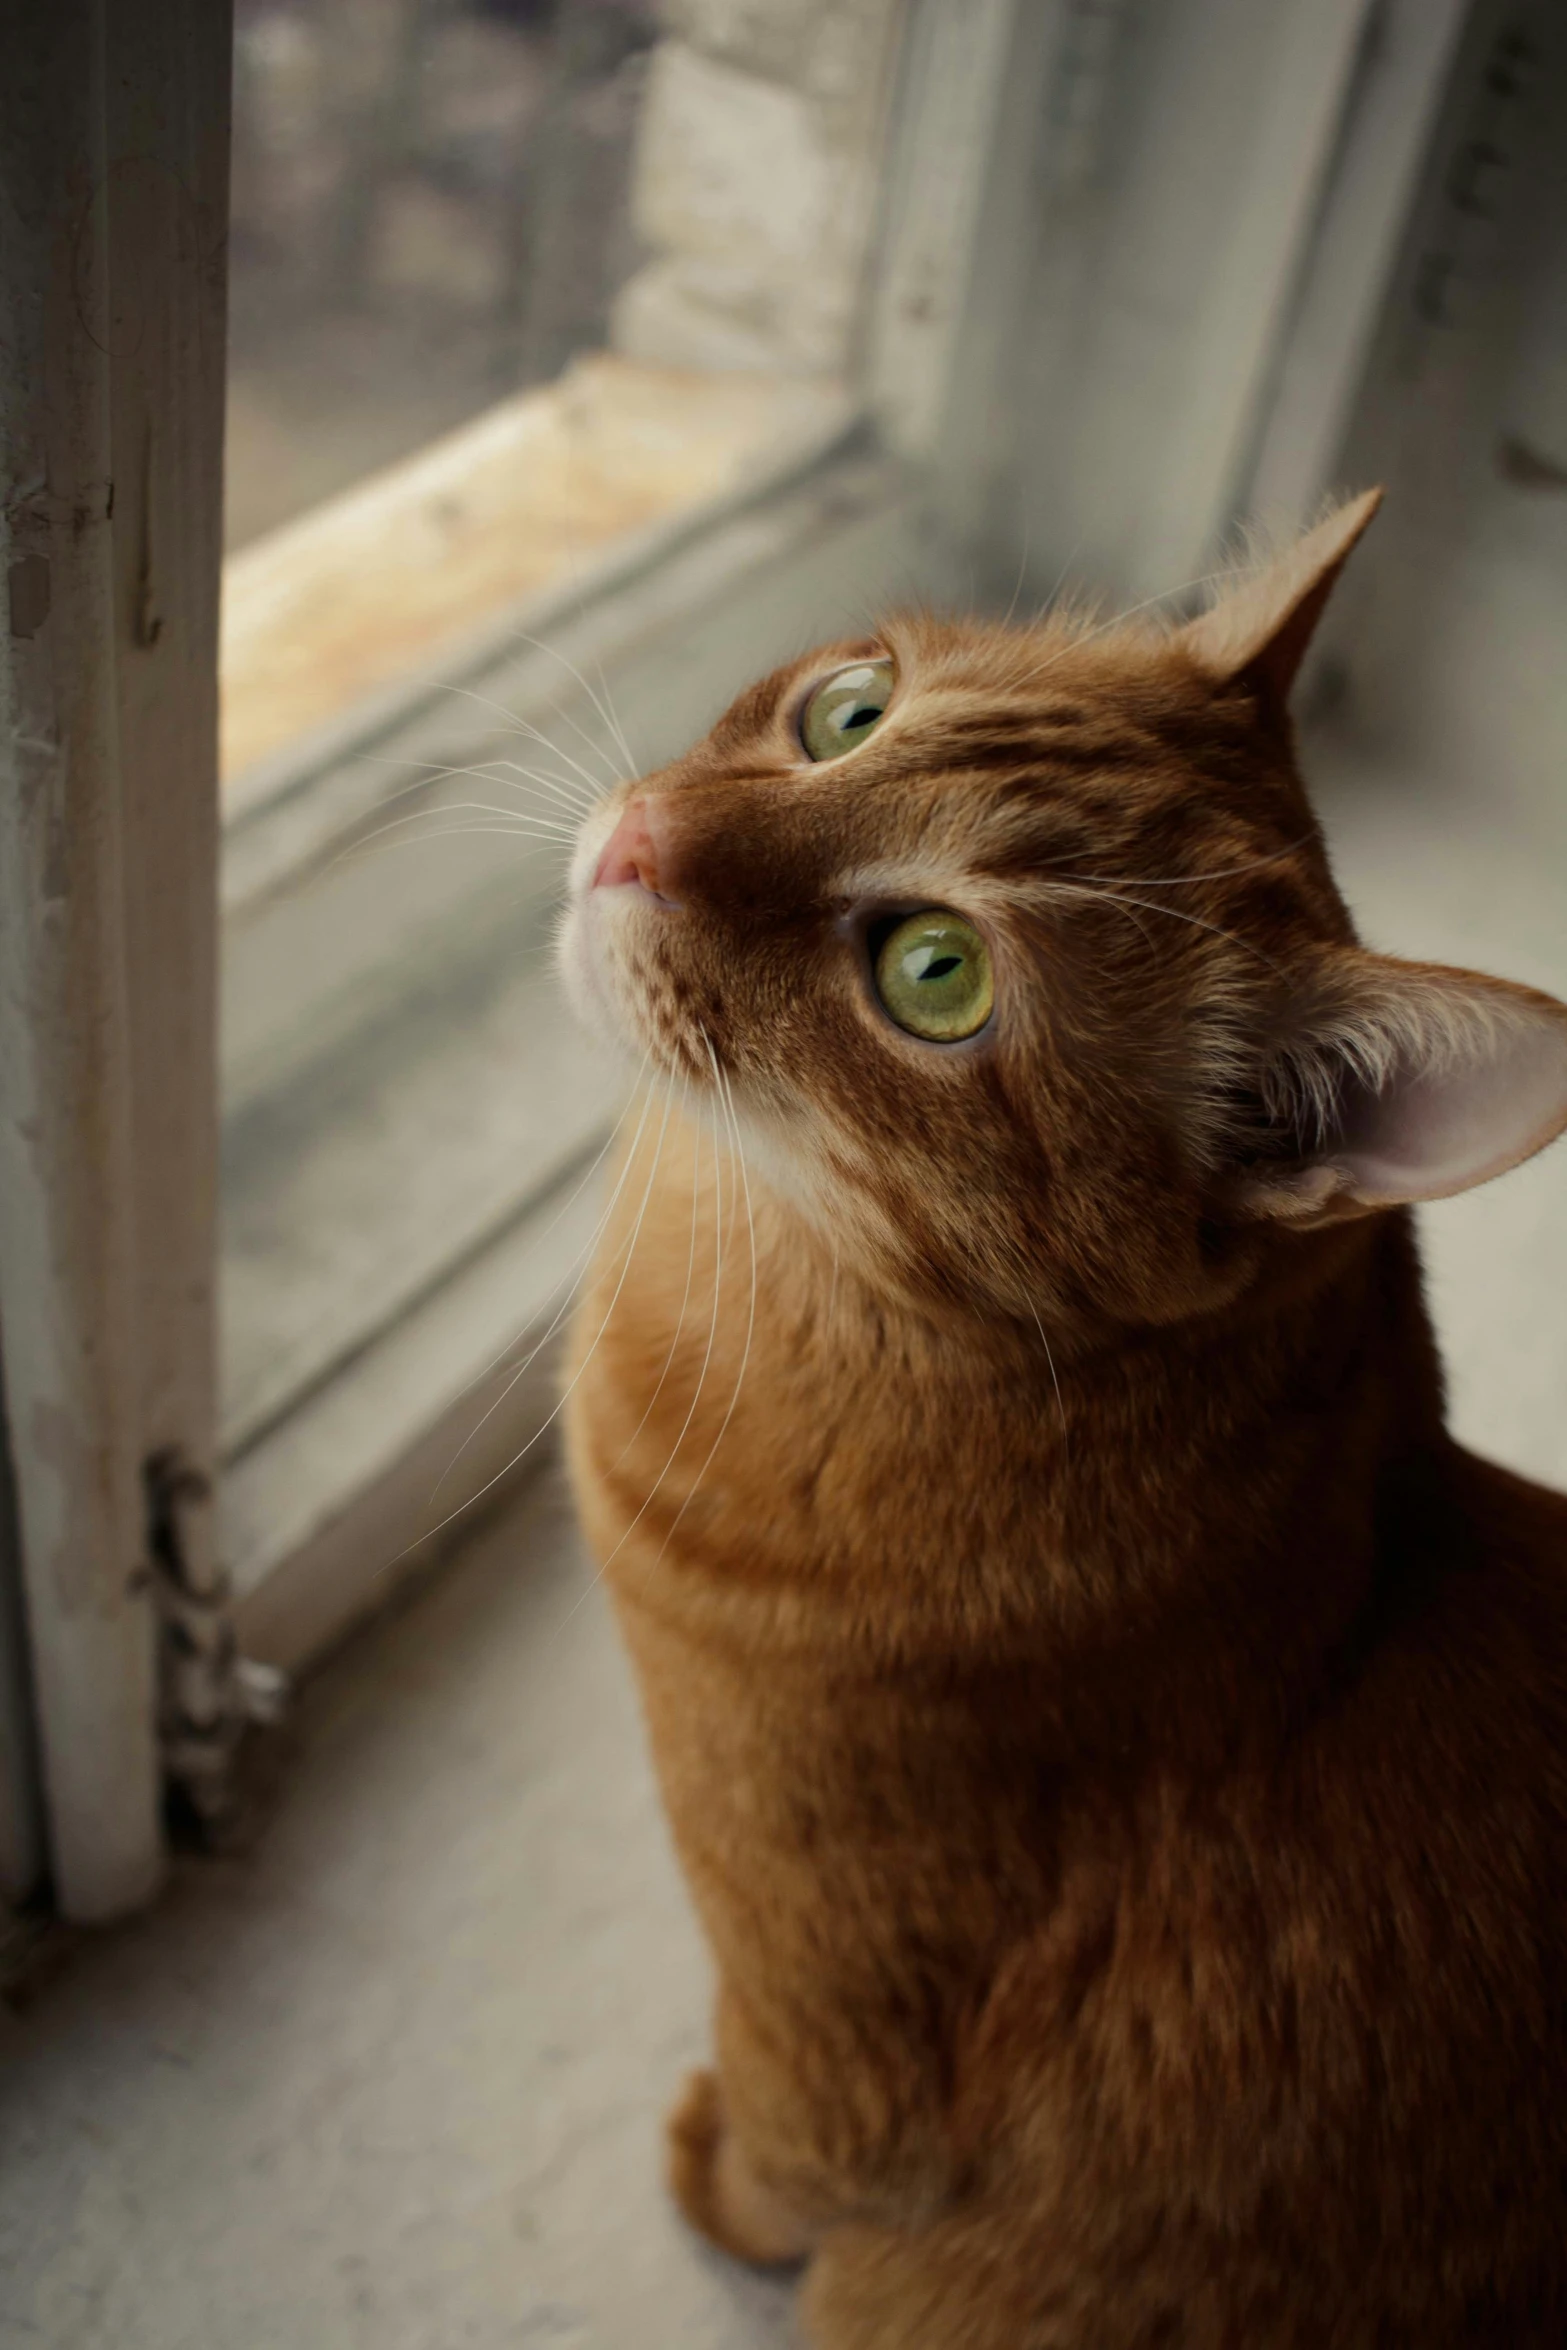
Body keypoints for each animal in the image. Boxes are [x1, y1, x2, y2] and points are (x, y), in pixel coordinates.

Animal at [554, 486, 1567, 2340]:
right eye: (847, 712)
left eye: (933, 973)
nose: (639, 837)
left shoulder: (834, 2039)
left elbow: (782, 2167)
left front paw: (711, 2178)